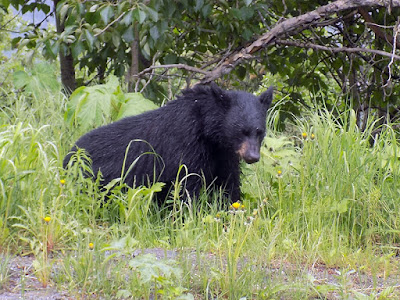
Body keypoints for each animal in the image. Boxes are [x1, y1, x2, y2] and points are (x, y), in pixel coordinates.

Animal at [64, 83, 274, 203]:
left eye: (259, 131)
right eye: (241, 131)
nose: (252, 156)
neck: (208, 131)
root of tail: (69, 153)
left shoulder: (224, 153)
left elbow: (228, 182)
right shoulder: (187, 145)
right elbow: (187, 181)